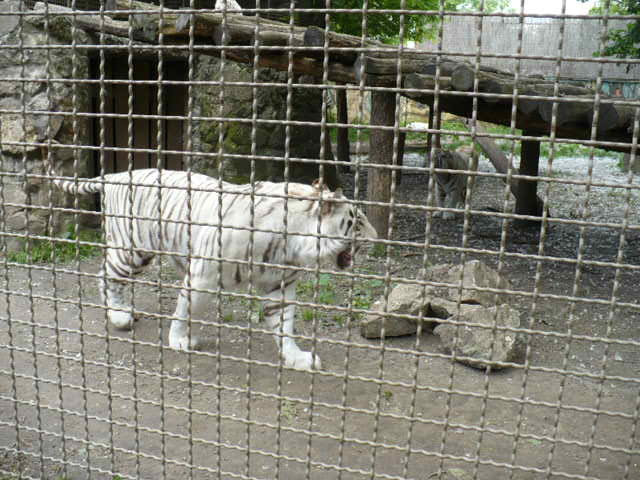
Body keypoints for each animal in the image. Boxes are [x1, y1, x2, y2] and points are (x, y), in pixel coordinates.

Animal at [55, 169, 378, 372]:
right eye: (358, 222)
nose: (377, 238)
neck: (293, 243)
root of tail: (117, 175)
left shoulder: (280, 286)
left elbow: (284, 325)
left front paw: (295, 357)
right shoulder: (203, 276)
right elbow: (185, 311)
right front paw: (179, 340)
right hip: (134, 250)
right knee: (105, 275)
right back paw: (119, 315)